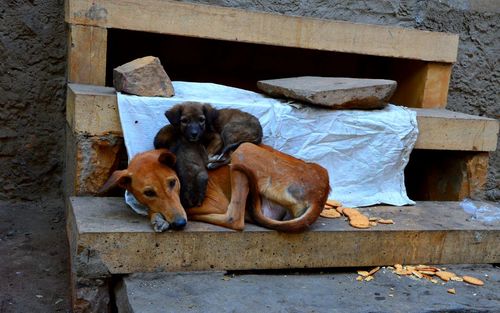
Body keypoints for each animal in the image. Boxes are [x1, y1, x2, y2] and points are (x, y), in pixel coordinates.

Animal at [99, 143, 330, 230]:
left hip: (244, 150)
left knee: (234, 219)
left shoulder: (212, 203)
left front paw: (159, 218)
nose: (180, 223)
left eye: (172, 182)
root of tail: (321, 191)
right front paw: (158, 217)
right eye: (148, 192)